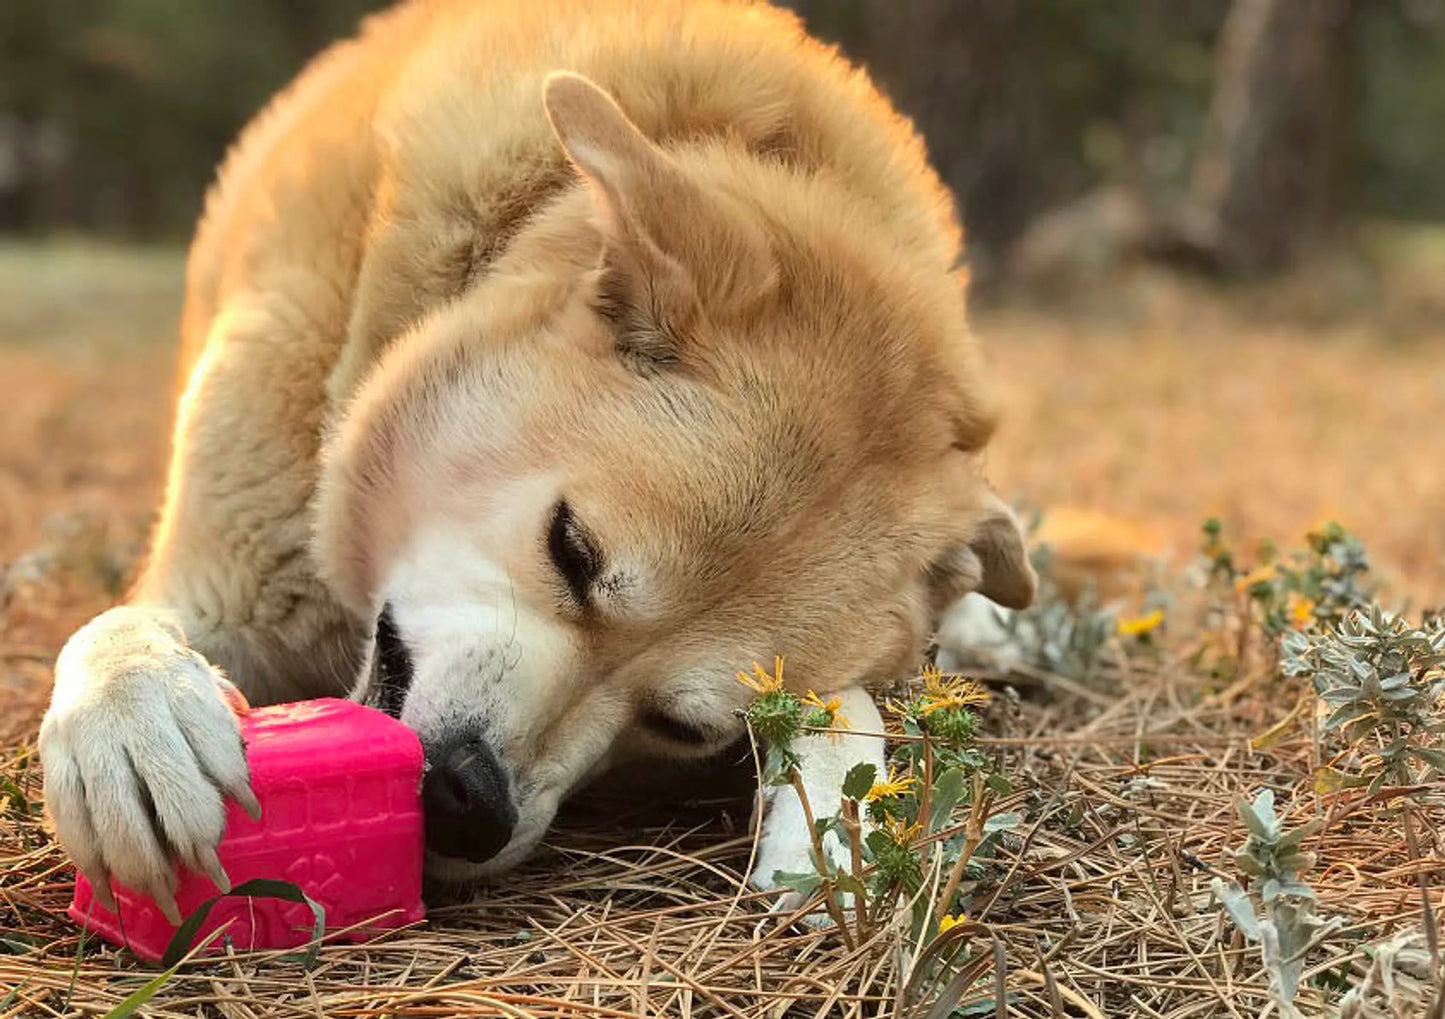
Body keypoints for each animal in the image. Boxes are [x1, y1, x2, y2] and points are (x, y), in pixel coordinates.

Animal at [39, 0, 1034, 925]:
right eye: (571, 548)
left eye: (681, 727)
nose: (467, 805)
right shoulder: (228, 586)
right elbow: (122, 628)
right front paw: (137, 716)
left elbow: (847, 705)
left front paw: (832, 821)